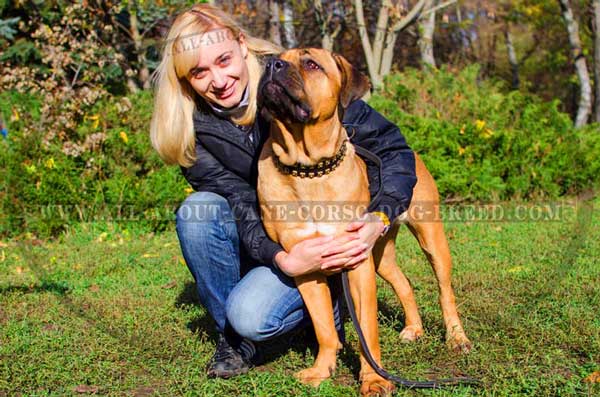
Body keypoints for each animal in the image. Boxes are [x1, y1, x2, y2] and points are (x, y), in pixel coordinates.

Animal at [255, 48, 472, 394]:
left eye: (311, 63)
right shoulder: (304, 263)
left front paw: (374, 380)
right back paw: (414, 329)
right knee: (404, 283)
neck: (308, 168)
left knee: (445, 291)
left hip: (431, 239)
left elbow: (367, 329)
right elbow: (323, 326)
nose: (272, 65)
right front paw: (322, 370)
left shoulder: (356, 263)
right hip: (380, 253)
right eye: (276, 57)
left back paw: (456, 337)